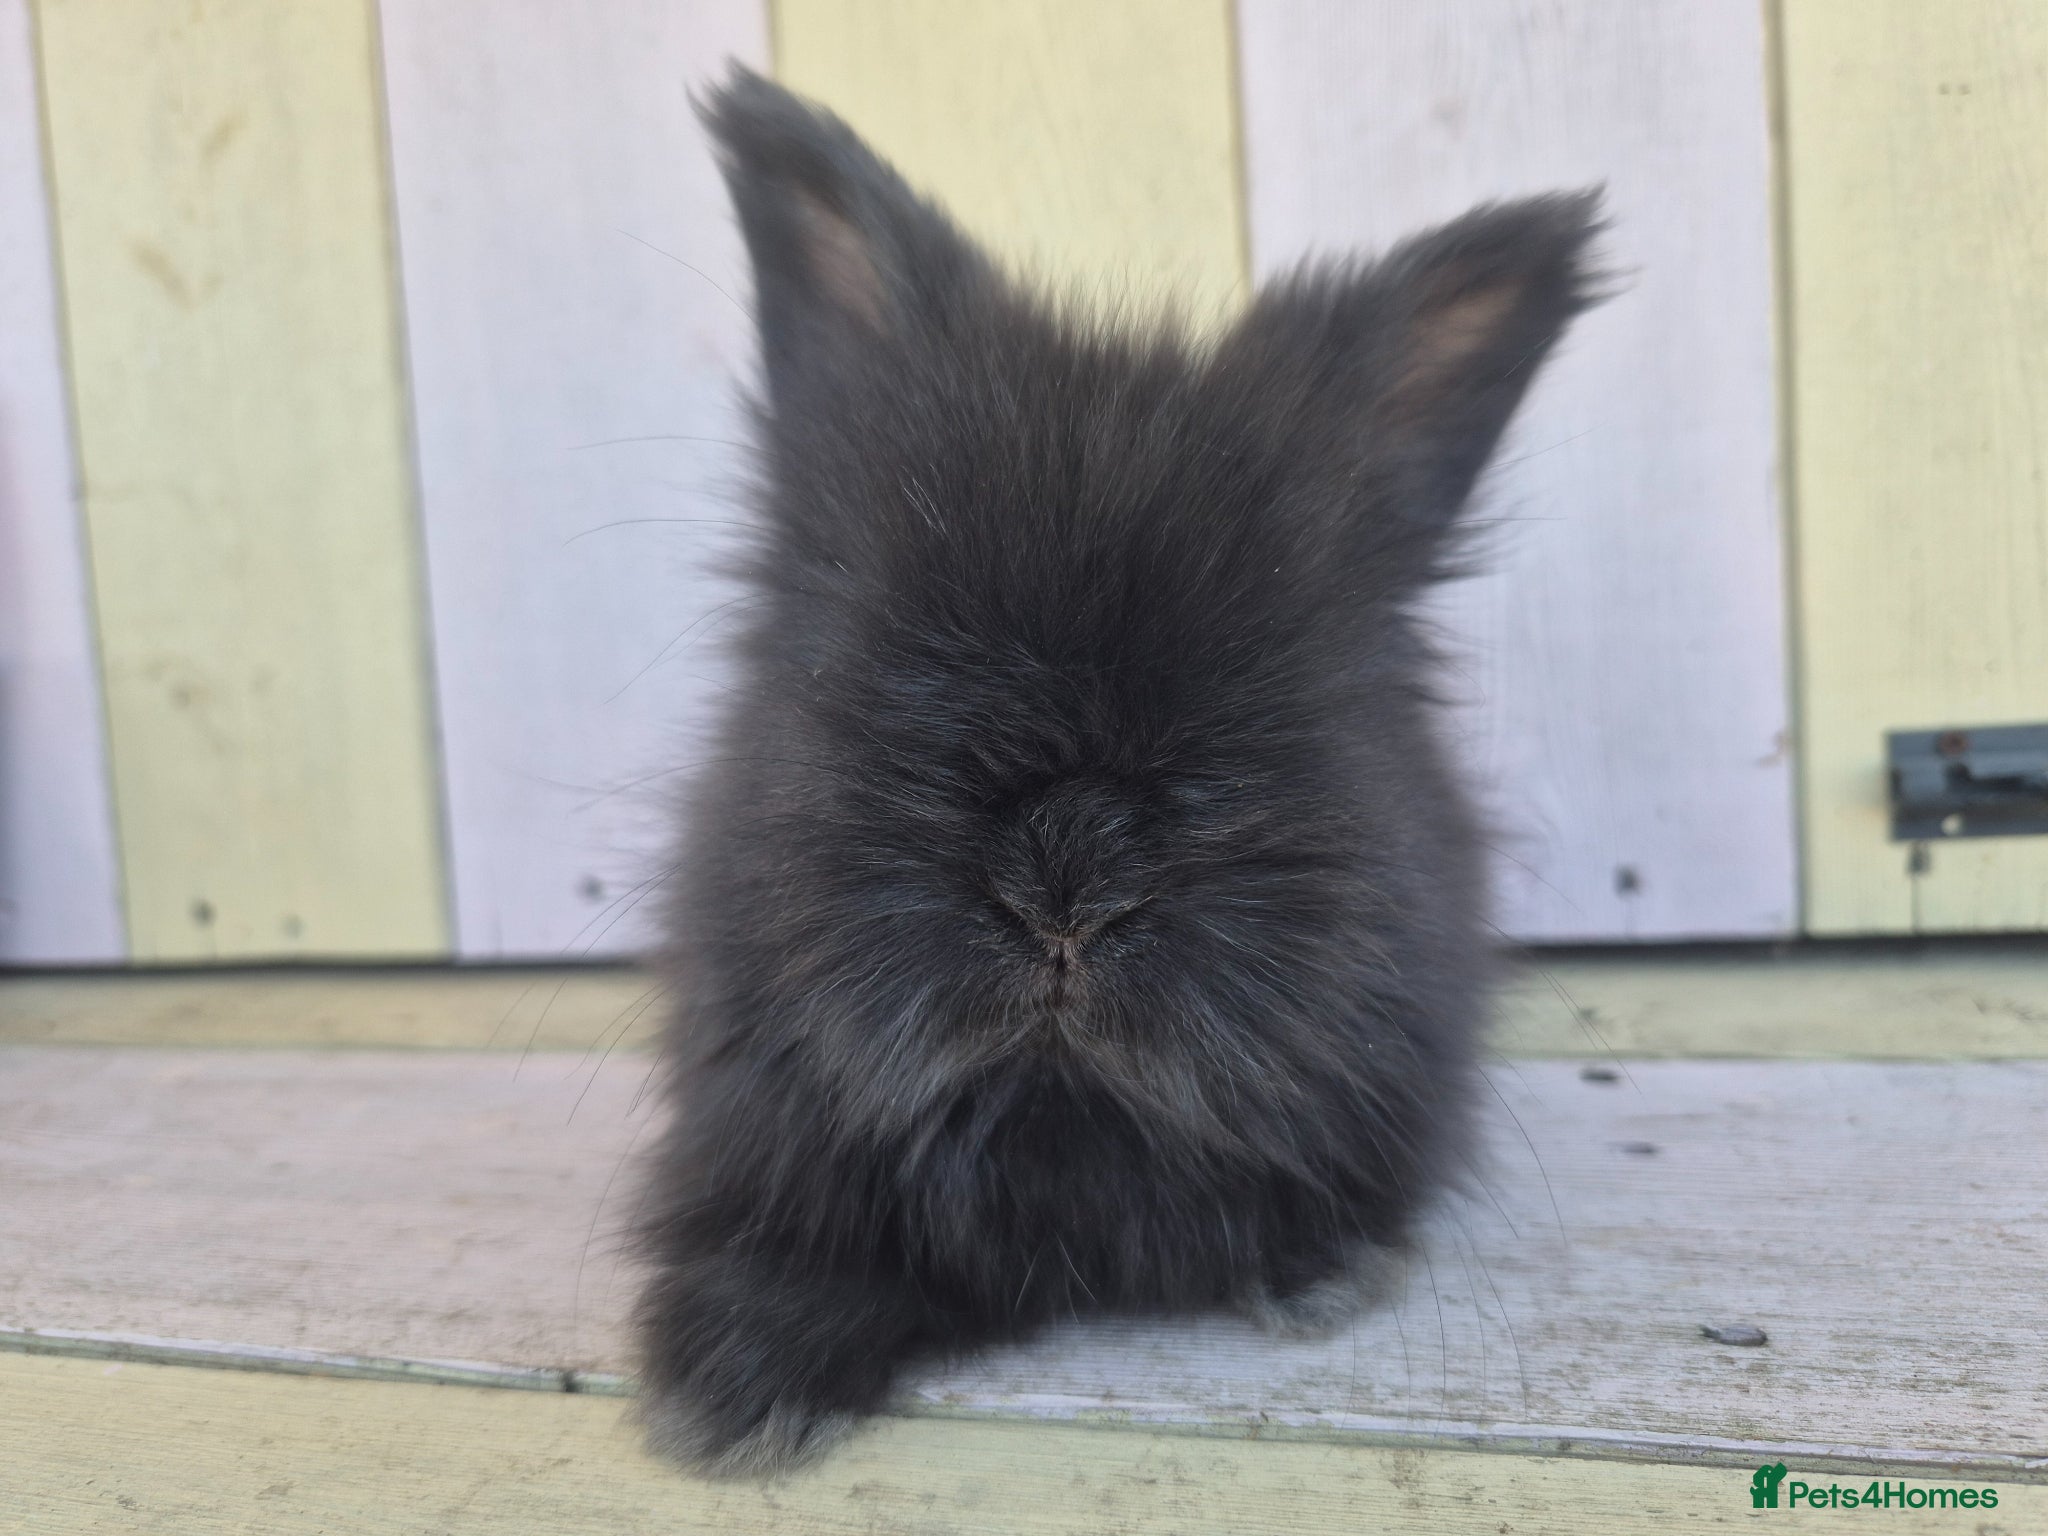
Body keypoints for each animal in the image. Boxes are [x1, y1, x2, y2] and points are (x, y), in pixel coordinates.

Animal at [634, 65, 1602, 1476]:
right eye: (879, 654)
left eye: (1264, 684)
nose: (1067, 862)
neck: (1059, 1123)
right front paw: (731, 1392)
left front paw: (1318, 1274)